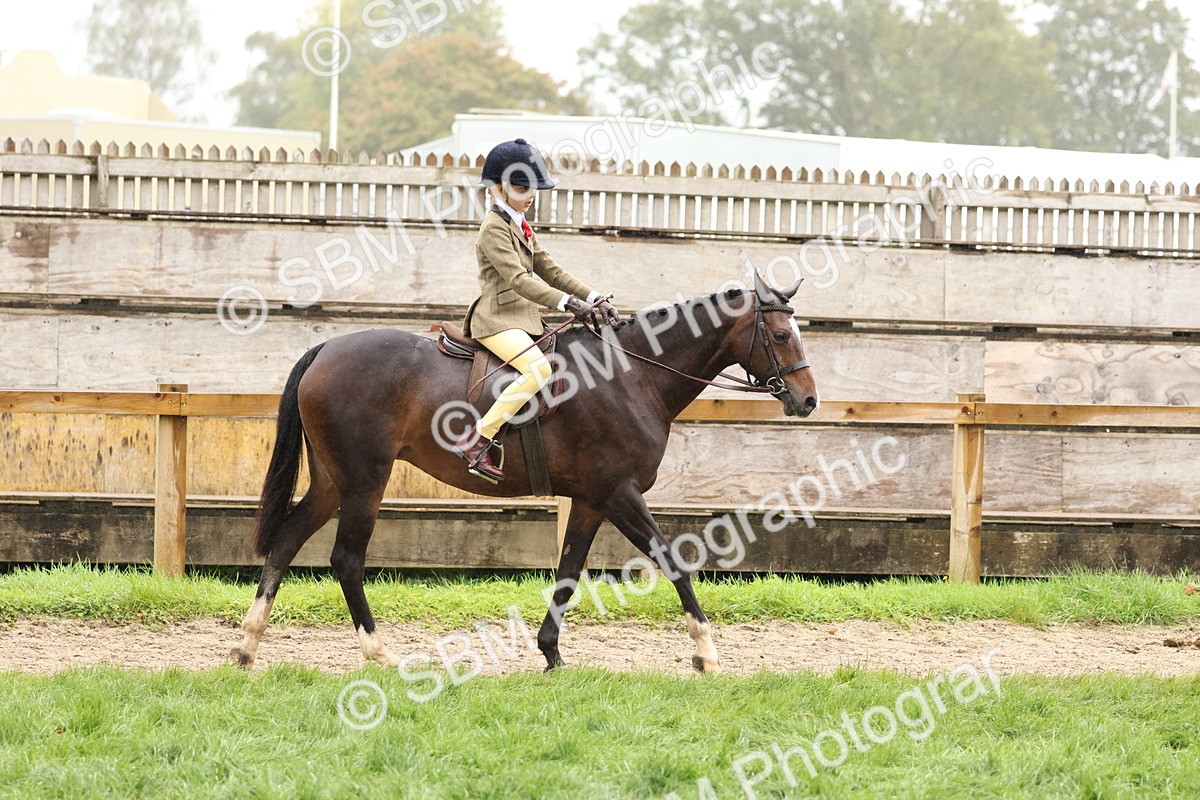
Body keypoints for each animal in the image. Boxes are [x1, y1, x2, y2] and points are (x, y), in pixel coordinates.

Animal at [230, 271, 819, 673]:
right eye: (781, 336)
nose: (808, 400)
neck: (632, 375)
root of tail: (327, 347)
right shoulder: (620, 493)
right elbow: (673, 562)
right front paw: (707, 653)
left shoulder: (591, 500)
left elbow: (568, 572)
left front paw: (551, 654)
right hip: (364, 482)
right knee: (346, 560)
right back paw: (378, 654)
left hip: (333, 482)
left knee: (285, 543)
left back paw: (246, 646)